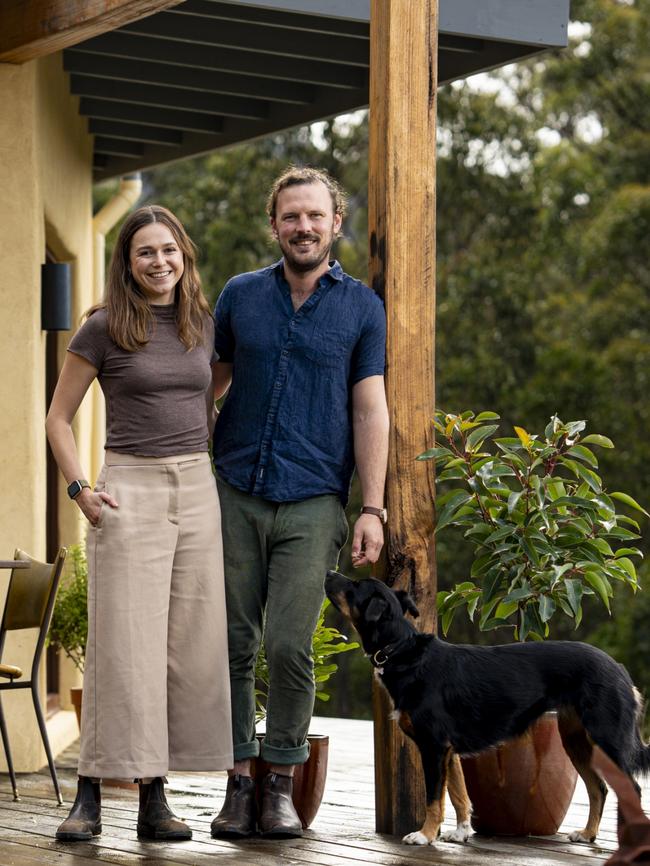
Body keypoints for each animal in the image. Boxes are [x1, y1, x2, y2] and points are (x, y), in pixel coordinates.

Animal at [324, 568, 648, 844]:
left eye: (354, 586)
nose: (328, 572)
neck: (402, 650)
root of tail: (620, 670)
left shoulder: (433, 747)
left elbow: (434, 799)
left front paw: (425, 835)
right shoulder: (449, 751)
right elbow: (459, 794)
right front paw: (461, 833)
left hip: (607, 738)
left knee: (631, 789)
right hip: (575, 740)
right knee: (598, 788)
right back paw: (588, 834)